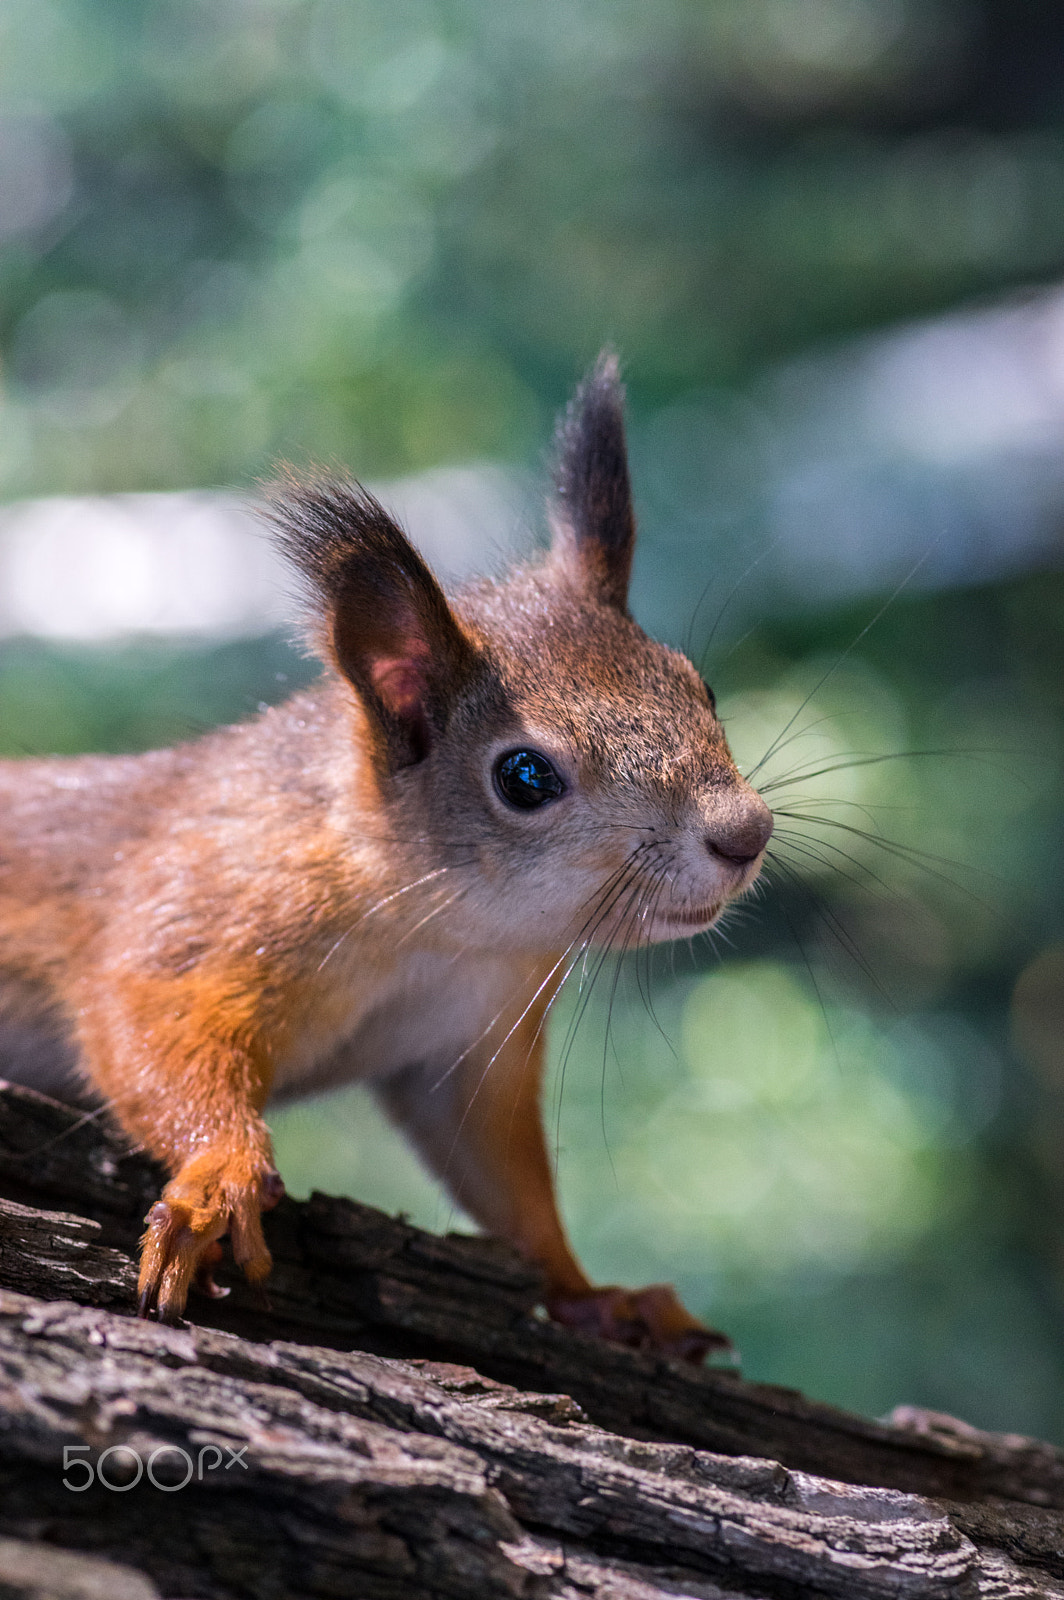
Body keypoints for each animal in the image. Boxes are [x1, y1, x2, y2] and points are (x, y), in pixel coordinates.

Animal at [0, 353, 768, 1363]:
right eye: (525, 776)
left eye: (699, 684)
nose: (746, 834)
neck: (438, 922)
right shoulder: (200, 903)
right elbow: (143, 1026)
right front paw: (220, 1176)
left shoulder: (466, 1043)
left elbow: (505, 1182)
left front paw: (597, 1294)